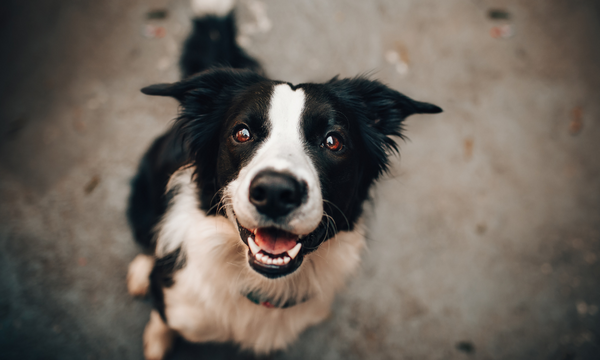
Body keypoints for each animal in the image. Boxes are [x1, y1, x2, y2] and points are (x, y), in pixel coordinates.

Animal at [125, 1, 440, 358]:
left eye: (333, 141)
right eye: (242, 133)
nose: (275, 192)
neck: (263, 286)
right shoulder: (175, 301)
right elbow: (162, 316)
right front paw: (157, 338)